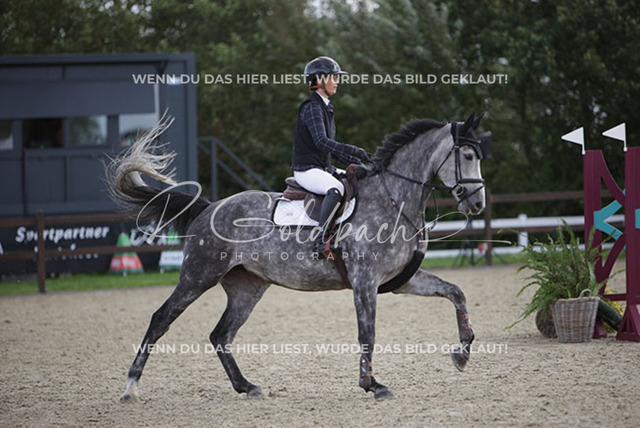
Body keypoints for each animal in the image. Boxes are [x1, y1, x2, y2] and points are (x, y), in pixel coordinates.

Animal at [108, 113, 489, 401]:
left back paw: (246, 386)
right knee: (161, 319)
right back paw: (131, 386)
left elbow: (456, 293)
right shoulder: (364, 282)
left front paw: (462, 353)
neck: (393, 198)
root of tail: (211, 207)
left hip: (247, 287)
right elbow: (367, 332)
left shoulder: (400, 281)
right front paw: (373, 385)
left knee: (221, 335)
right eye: (468, 157)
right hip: (198, 276)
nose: (477, 203)